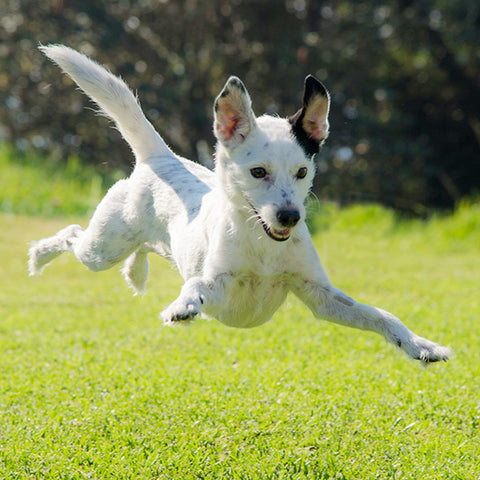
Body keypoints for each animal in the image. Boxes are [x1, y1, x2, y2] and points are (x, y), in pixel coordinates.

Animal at [29, 46, 450, 364]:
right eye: (258, 171)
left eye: (302, 172)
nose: (290, 217)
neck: (263, 246)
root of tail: (161, 157)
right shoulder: (220, 286)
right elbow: (197, 285)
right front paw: (183, 306)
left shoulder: (321, 296)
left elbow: (380, 315)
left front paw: (420, 345)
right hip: (102, 247)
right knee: (72, 235)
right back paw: (39, 256)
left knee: (142, 249)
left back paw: (136, 272)